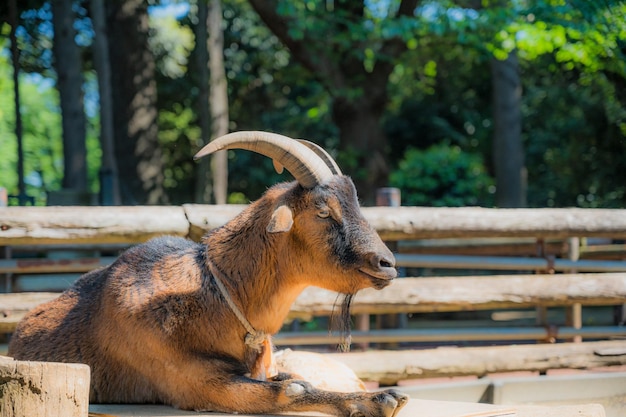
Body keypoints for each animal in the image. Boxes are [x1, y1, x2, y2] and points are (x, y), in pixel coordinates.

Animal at [9, 131, 410, 416]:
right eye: (323, 211)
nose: (386, 264)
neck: (218, 301)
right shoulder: (194, 382)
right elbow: (293, 388)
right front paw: (382, 400)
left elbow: (296, 379)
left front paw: (382, 397)